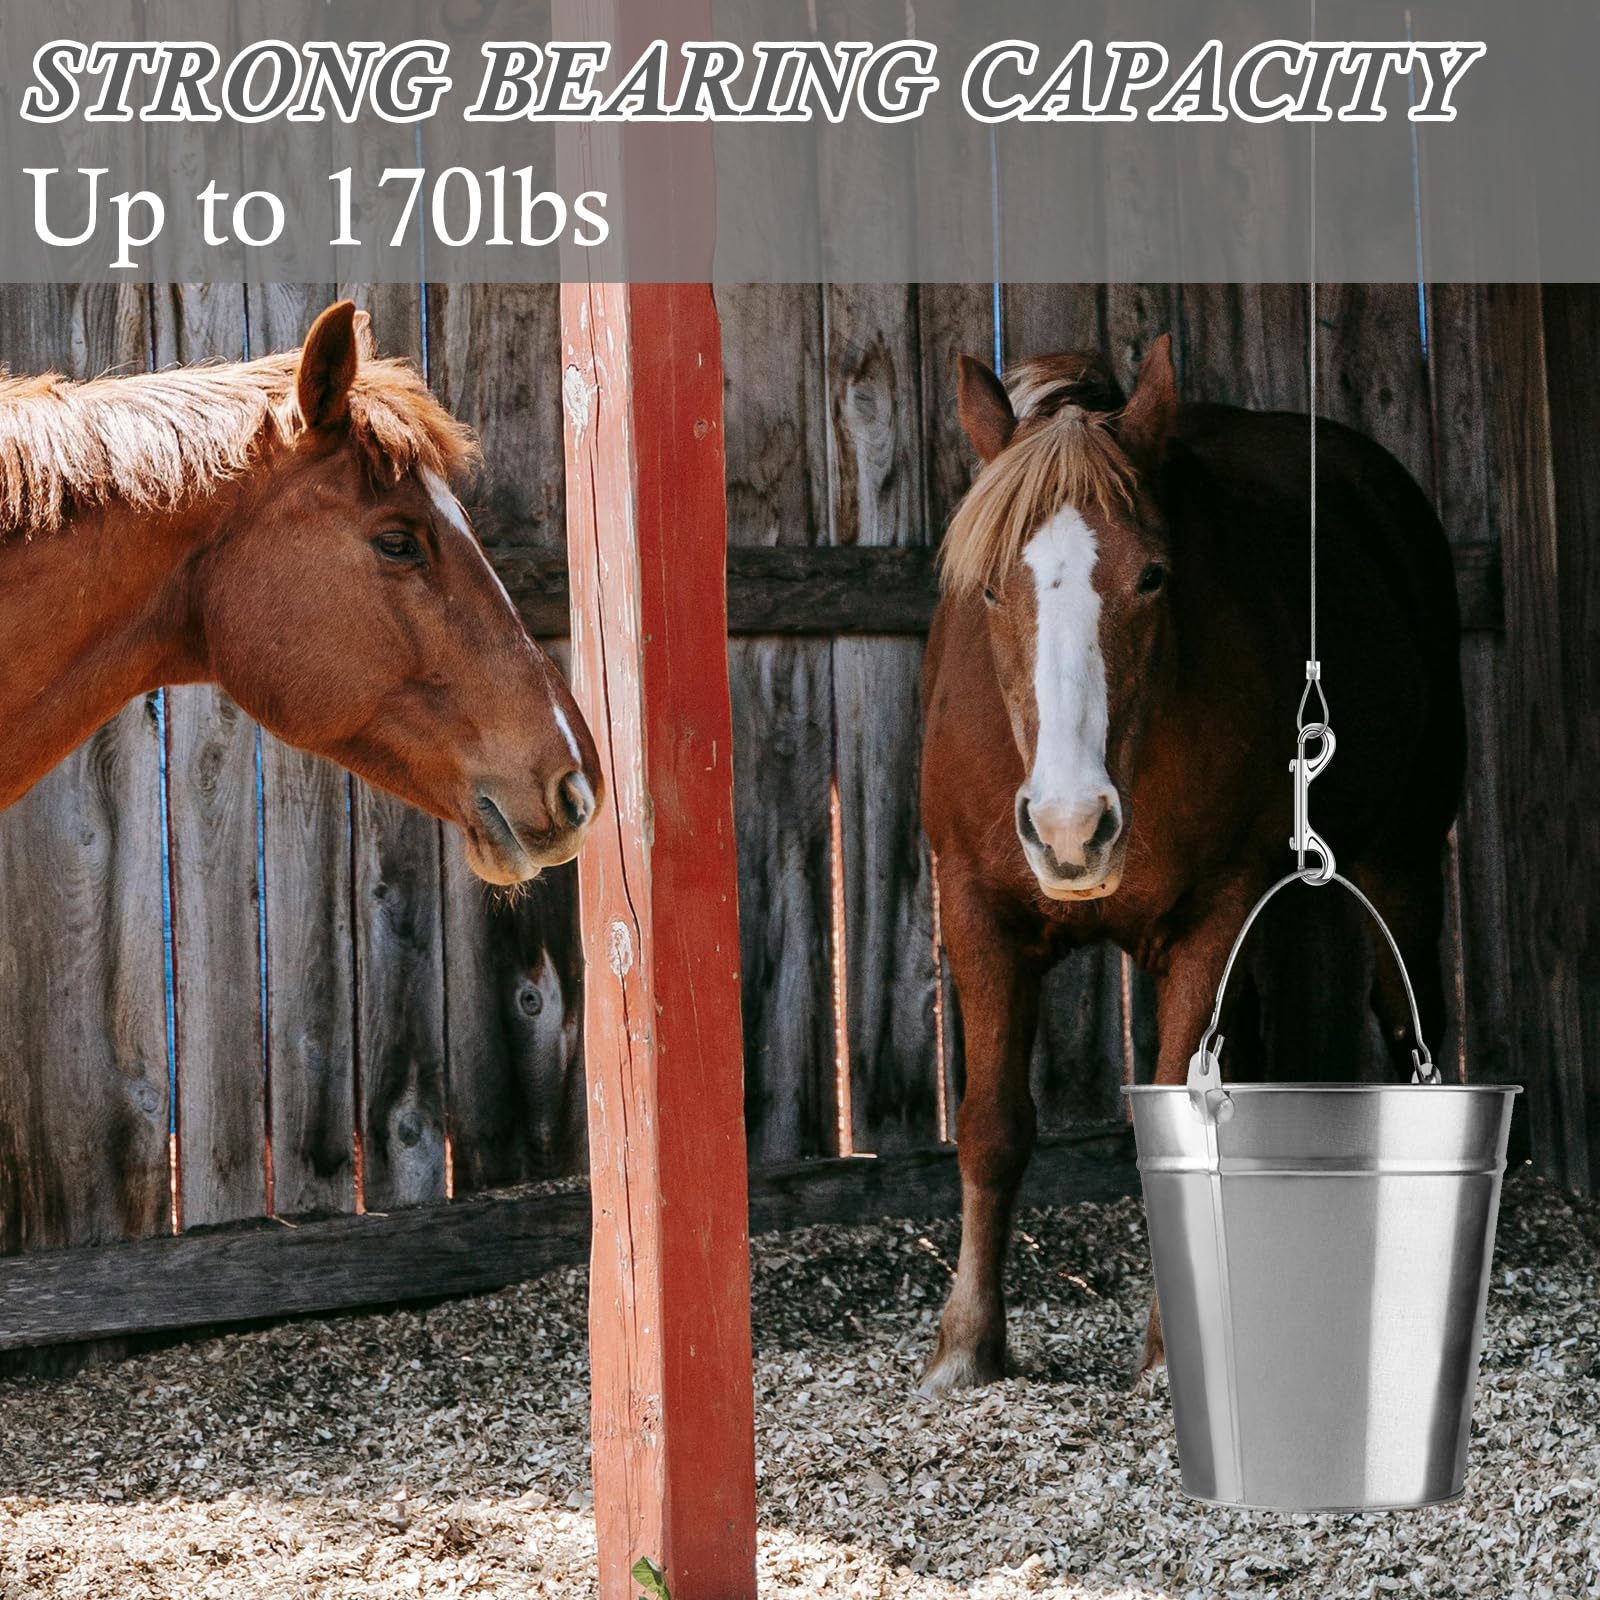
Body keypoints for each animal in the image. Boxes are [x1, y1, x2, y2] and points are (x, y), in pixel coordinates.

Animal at [919, 335, 1465, 1394]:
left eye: (1154, 577)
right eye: (991, 587)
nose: (1070, 827)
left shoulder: (1214, 911)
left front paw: (1175, 1351)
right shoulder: (973, 909)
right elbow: (992, 1126)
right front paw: (966, 1344)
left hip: (1403, 862)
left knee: (1402, 1013)